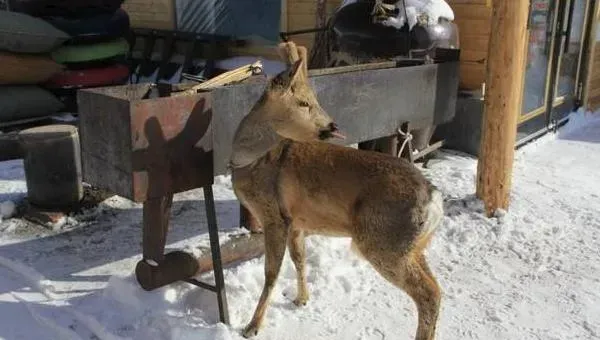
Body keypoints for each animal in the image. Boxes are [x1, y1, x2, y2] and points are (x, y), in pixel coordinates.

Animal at [232, 41, 442, 340]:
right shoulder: (296, 222)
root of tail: (435, 199)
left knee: (428, 294)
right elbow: (299, 259)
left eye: (313, 101)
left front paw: (252, 326)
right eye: (304, 102)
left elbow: (272, 273)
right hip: (412, 245)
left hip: (383, 242)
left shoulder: (273, 216)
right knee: (436, 287)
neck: (249, 161)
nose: (333, 125)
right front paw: (301, 299)